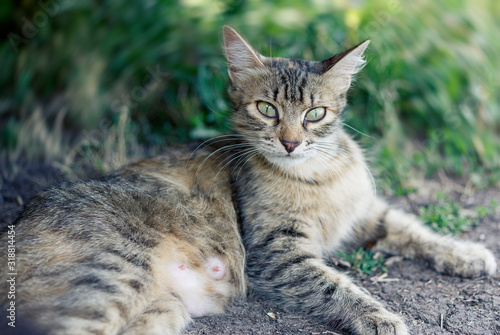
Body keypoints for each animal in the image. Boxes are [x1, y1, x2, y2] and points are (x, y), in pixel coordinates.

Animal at [0, 26, 496, 335]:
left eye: (315, 114)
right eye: (267, 109)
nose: (291, 142)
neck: (317, 174)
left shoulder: (366, 214)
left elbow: (414, 228)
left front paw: (466, 253)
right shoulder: (276, 252)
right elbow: (335, 285)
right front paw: (378, 316)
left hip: (160, 310)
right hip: (110, 275)